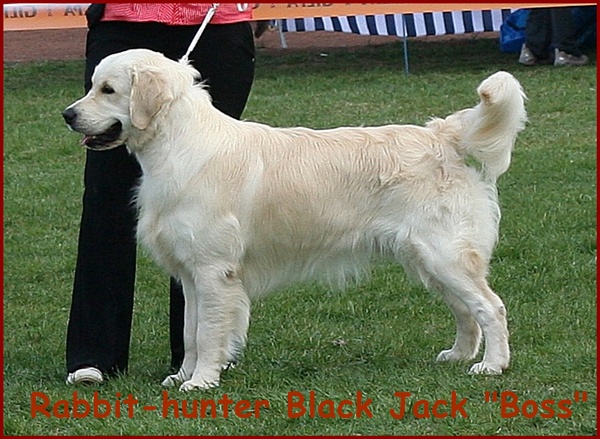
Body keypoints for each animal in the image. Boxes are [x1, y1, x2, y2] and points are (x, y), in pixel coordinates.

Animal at [63, 48, 527, 391]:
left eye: (107, 89)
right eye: (92, 86)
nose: (68, 114)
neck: (178, 143)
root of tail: (441, 136)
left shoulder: (213, 271)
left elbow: (208, 333)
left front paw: (201, 382)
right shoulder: (192, 275)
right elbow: (191, 333)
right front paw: (182, 375)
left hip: (443, 254)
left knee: (491, 307)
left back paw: (492, 366)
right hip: (428, 260)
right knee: (466, 311)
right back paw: (459, 355)